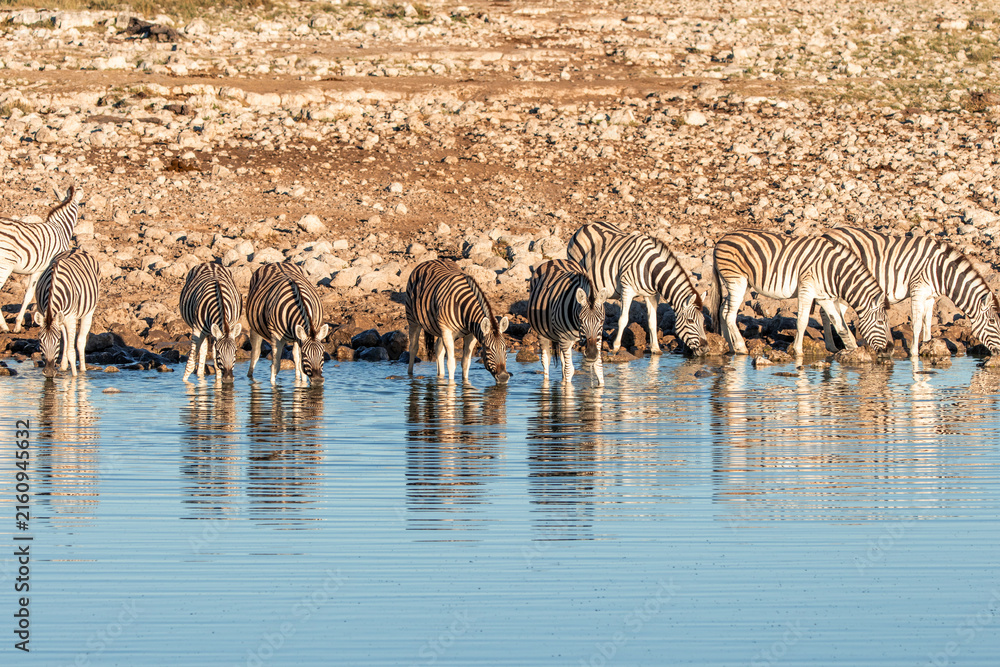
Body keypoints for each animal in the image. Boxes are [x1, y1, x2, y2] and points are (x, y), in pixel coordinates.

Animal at [0, 186, 82, 333]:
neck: (60, 228)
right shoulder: (44, 269)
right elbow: (33, 294)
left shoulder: (36, 270)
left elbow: (29, 294)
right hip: (5, 265)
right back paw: (4, 326)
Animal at [32, 248, 100, 378]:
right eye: (40, 341)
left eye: (57, 342)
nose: (49, 372)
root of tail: (76, 249)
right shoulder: (46, 313)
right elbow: (66, 346)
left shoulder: (71, 318)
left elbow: (71, 351)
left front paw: (75, 377)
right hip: (62, 318)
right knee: (67, 340)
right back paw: (63, 366)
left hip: (89, 311)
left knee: (80, 341)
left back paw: (82, 370)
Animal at [566, 221, 708, 355]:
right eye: (690, 321)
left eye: (703, 321)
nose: (705, 349)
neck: (651, 269)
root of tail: (585, 225)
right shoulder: (627, 290)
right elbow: (623, 320)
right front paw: (615, 347)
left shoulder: (652, 295)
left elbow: (652, 321)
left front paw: (655, 348)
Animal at [706, 230, 892, 356]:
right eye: (881, 322)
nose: (890, 350)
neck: (833, 271)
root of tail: (721, 240)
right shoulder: (806, 289)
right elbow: (802, 322)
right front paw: (798, 351)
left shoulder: (824, 296)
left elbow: (840, 325)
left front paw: (852, 349)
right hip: (736, 280)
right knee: (730, 314)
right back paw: (741, 347)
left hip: (741, 284)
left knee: (723, 310)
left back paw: (730, 346)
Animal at [824, 227, 1000, 357]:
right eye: (992, 322)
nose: (999, 353)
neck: (941, 271)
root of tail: (827, 233)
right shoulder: (918, 290)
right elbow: (917, 324)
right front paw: (915, 353)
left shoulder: (930, 296)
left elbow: (927, 323)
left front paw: (929, 346)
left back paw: (833, 347)